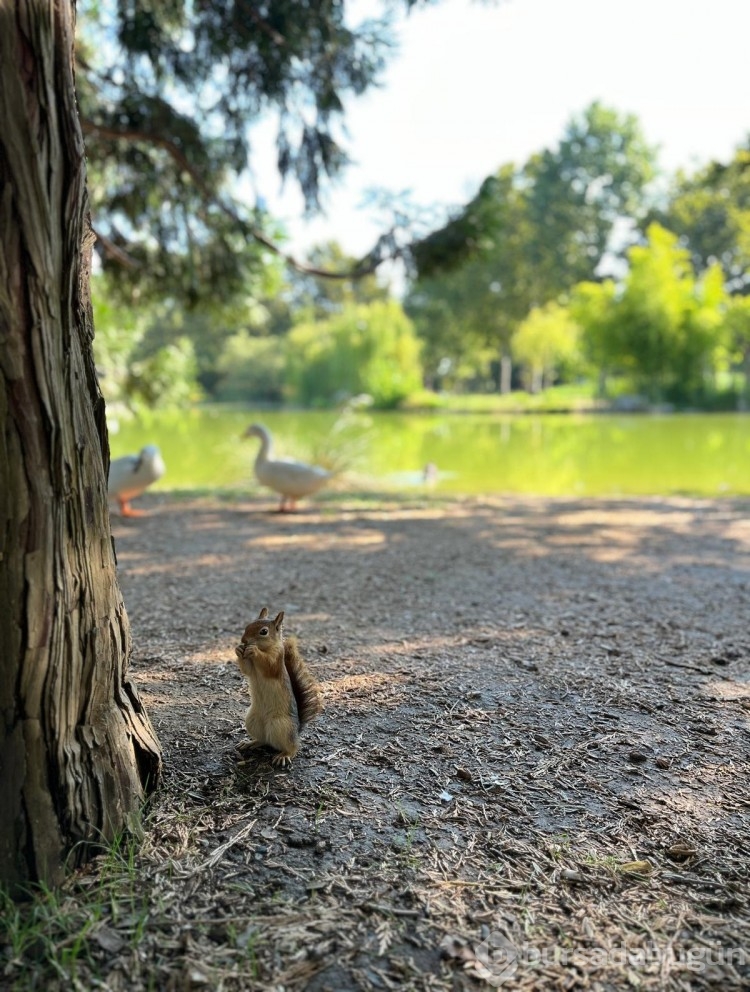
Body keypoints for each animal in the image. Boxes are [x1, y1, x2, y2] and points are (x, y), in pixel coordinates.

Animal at [235, 604, 324, 768]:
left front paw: (253, 650)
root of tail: (296, 731)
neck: (265, 648)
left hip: (282, 726)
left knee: (292, 747)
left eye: (264, 631)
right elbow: (247, 670)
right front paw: (238, 649)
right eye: (248, 625)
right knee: (263, 740)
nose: (244, 640)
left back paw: (284, 755)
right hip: (253, 720)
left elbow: (268, 665)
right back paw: (250, 743)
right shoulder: (251, 668)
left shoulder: (276, 659)